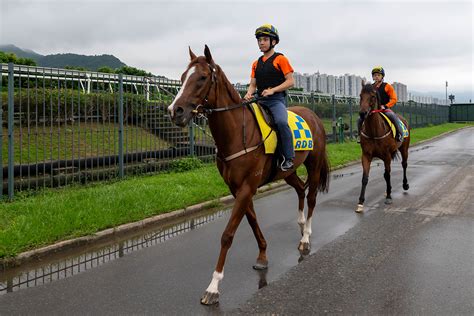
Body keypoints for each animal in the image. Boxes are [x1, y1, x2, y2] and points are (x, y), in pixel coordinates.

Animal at [168, 45, 330, 304]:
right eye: (183, 77)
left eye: (202, 77)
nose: (175, 111)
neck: (237, 133)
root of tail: (312, 115)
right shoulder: (238, 189)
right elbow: (252, 221)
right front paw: (263, 256)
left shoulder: (247, 186)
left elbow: (228, 234)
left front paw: (213, 286)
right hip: (288, 171)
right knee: (299, 188)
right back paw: (300, 221)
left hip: (314, 165)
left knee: (312, 196)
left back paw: (305, 237)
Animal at [358, 82, 410, 214]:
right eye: (360, 95)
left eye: (372, 96)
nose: (362, 113)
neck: (374, 131)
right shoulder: (366, 155)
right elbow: (365, 178)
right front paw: (360, 202)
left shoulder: (387, 155)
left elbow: (387, 175)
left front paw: (389, 197)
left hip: (404, 148)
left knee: (404, 164)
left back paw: (405, 184)